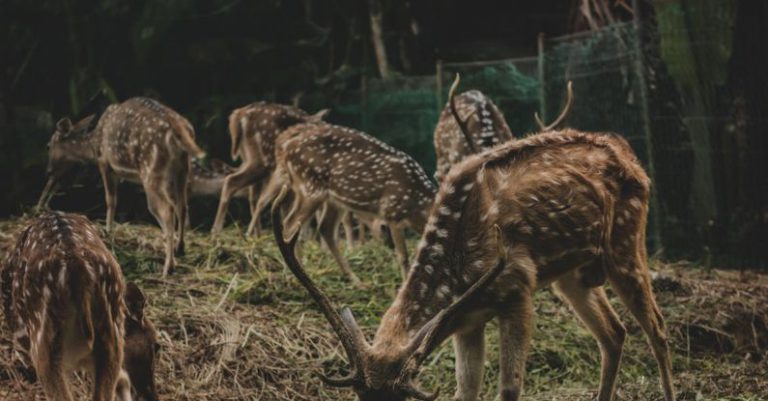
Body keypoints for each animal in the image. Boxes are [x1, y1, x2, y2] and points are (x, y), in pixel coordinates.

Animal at [41, 97, 206, 276]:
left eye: (48, 145)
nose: (48, 171)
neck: (93, 145)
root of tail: (181, 128)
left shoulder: (105, 163)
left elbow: (110, 200)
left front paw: (108, 231)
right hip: (182, 169)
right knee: (182, 206)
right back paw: (180, 248)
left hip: (151, 170)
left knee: (165, 210)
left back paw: (168, 267)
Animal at [211, 102, 328, 237]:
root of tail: (239, 115)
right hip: (263, 160)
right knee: (233, 182)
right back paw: (218, 232)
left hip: (249, 158)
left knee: (253, 196)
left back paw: (255, 235)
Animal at [271, 121, 436, 285]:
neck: (418, 204)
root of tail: (286, 146)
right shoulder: (393, 214)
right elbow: (403, 257)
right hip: (311, 187)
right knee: (290, 224)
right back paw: (299, 272)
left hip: (331, 199)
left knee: (324, 228)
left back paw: (355, 280)